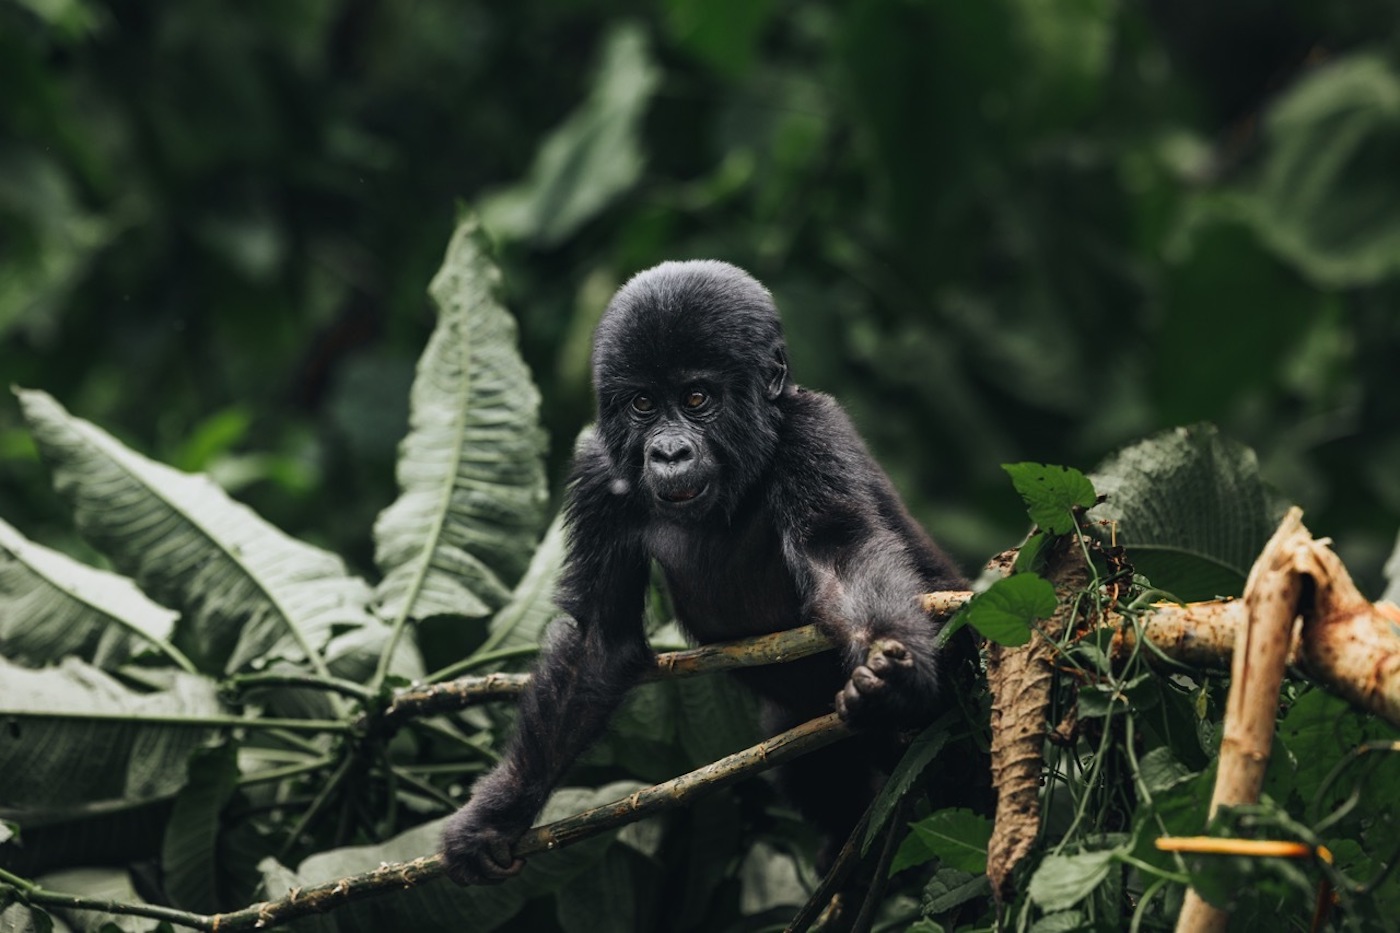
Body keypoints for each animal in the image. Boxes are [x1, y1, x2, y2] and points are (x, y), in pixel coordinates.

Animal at [441, 260, 968, 885]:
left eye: (696, 398)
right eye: (643, 404)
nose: (669, 453)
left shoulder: (814, 434)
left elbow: (843, 556)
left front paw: (892, 675)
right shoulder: (597, 471)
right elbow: (599, 641)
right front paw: (497, 814)